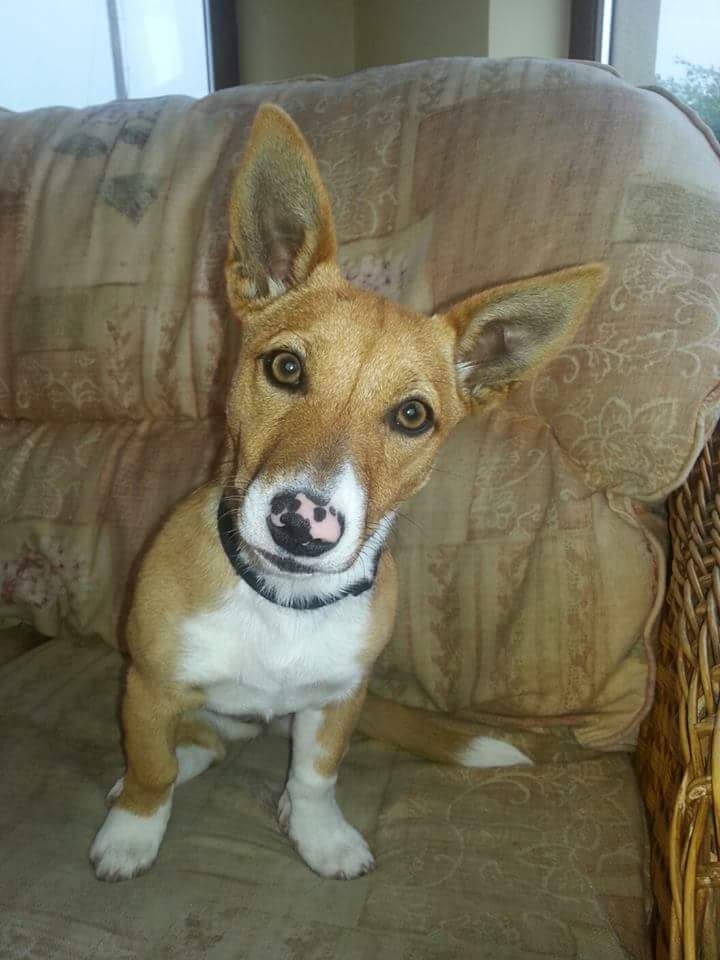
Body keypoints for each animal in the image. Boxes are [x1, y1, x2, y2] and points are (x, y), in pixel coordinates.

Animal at [90, 101, 608, 880]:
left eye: (413, 416)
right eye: (285, 367)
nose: (303, 522)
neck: (283, 602)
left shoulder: (339, 699)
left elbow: (315, 777)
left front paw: (318, 834)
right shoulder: (148, 686)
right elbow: (152, 766)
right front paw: (133, 832)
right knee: (193, 745)